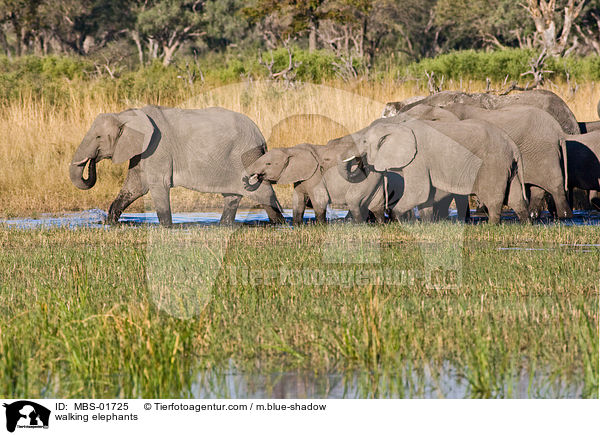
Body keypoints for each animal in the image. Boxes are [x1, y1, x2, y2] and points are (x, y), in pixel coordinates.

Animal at [69, 105, 284, 227]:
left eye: (98, 137)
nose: (92, 161)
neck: (125, 116)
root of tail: (261, 136)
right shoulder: (142, 152)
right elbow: (135, 187)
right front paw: (110, 223)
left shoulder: (157, 148)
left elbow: (157, 186)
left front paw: (166, 227)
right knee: (233, 195)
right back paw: (225, 225)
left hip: (245, 155)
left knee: (261, 191)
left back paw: (281, 224)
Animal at [241, 140, 400, 227]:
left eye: (268, 163)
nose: (249, 179)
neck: (291, 150)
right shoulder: (301, 178)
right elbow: (298, 201)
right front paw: (297, 225)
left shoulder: (315, 175)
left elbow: (320, 200)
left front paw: (320, 226)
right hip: (374, 181)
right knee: (376, 206)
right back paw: (380, 224)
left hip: (364, 180)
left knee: (354, 202)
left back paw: (358, 225)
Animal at [338, 116, 528, 225]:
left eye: (363, 142)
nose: (361, 163)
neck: (398, 126)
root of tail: (512, 144)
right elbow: (426, 196)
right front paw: (427, 224)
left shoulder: (418, 158)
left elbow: (418, 192)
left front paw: (395, 221)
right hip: (508, 165)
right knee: (516, 197)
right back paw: (526, 223)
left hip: (493, 163)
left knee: (494, 198)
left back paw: (492, 225)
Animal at [436, 103, 572, 220]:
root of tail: (558, 130)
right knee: (538, 188)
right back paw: (533, 215)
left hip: (543, 152)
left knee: (555, 185)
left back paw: (565, 216)